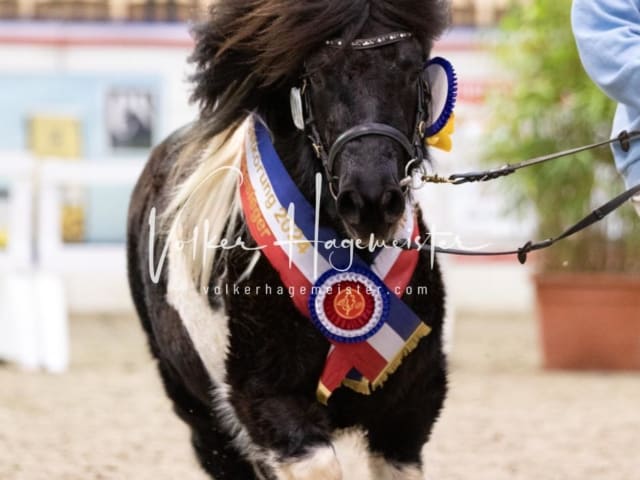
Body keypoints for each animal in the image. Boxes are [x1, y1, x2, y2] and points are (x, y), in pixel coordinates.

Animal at [127, 1, 450, 478]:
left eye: (411, 70)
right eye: (317, 75)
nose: (371, 200)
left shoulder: (407, 415)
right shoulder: (266, 398)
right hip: (205, 419)